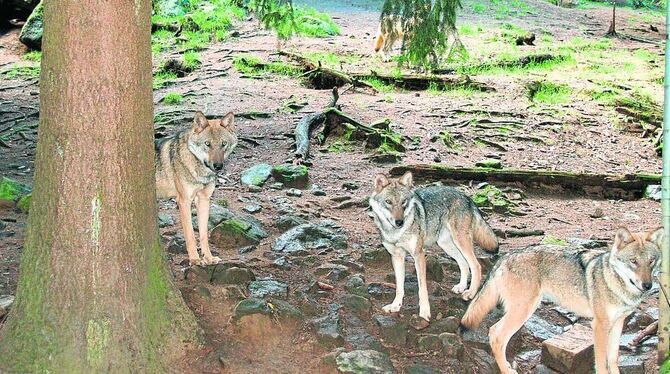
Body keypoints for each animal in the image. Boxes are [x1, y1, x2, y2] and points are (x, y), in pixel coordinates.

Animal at [155, 111, 239, 266]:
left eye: (223, 144)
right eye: (207, 144)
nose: (218, 166)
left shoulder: (204, 200)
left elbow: (203, 234)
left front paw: (208, 258)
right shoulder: (184, 201)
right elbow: (190, 235)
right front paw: (194, 259)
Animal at [370, 172, 502, 322]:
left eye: (403, 201)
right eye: (388, 202)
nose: (399, 222)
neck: (396, 233)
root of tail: (467, 197)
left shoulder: (419, 255)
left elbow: (422, 288)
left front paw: (424, 312)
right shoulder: (397, 257)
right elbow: (399, 287)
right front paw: (395, 306)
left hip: (461, 241)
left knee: (476, 265)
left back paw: (470, 293)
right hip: (446, 245)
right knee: (463, 263)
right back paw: (461, 287)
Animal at [460, 226, 664, 372]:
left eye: (651, 261)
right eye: (633, 261)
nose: (648, 285)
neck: (615, 282)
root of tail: (505, 256)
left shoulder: (618, 323)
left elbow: (613, 360)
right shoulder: (599, 325)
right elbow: (601, 363)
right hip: (523, 311)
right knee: (495, 334)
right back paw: (506, 370)